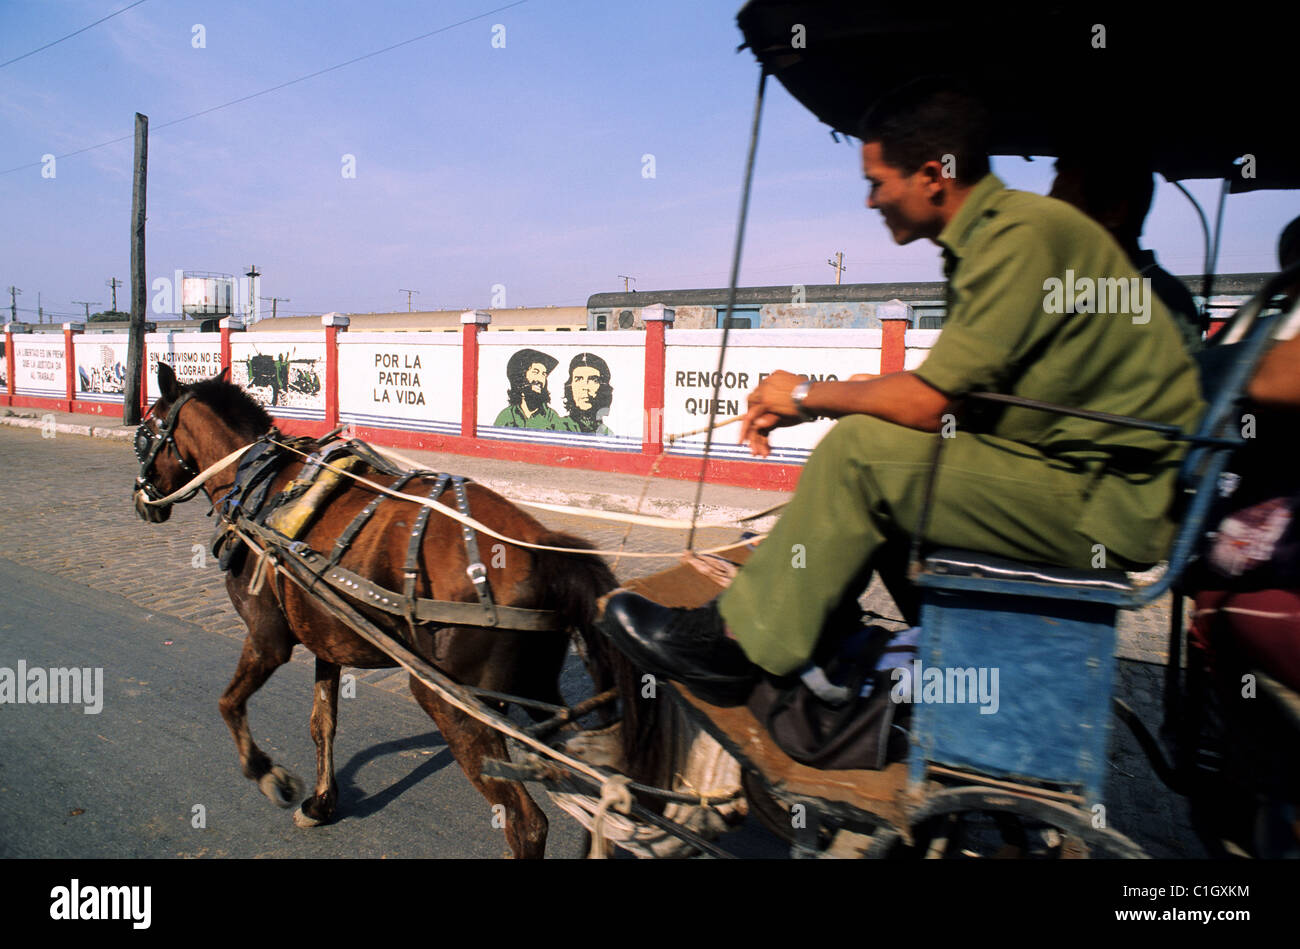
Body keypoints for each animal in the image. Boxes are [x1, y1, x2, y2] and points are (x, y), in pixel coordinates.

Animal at [131, 358, 613, 852]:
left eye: (145, 432)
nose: (142, 499)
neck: (257, 482)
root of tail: (543, 547)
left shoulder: (267, 640)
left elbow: (228, 703)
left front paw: (270, 776)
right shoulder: (325, 639)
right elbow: (321, 722)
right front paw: (321, 803)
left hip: (451, 699)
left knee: (526, 820)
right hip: (537, 692)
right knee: (594, 787)